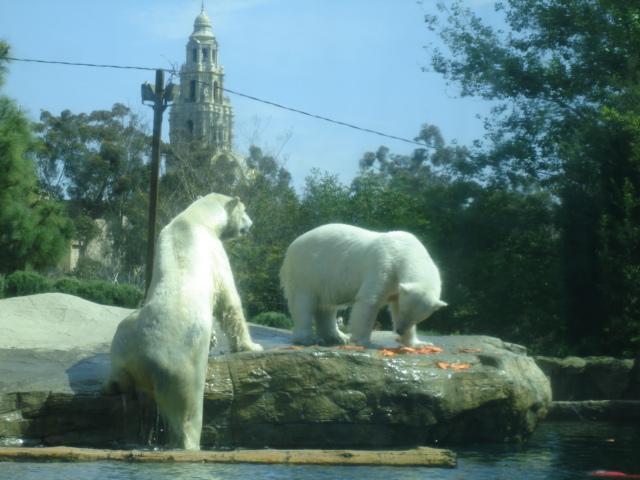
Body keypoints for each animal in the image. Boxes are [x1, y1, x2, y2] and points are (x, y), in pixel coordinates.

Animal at [106, 193, 262, 450]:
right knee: (188, 415)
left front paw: (215, 339)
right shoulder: (215, 253)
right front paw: (251, 346)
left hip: (124, 339)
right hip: (182, 369)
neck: (195, 219)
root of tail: (143, 360)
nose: (250, 225)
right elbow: (229, 300)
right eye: (245, 210)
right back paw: (191, 443)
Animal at [280, 223, 446, 348]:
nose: (399, 330)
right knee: (303, 303)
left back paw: (337, 337)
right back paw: (308, 339)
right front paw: (363, 341)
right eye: (405, 311)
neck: (403, 250)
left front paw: (419, 343)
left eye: (418, 318)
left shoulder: (397, 286)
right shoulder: (383, 266)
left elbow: (394, 304)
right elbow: (369, 301)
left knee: (327, 306)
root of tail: (291, 246)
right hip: (307, 270)